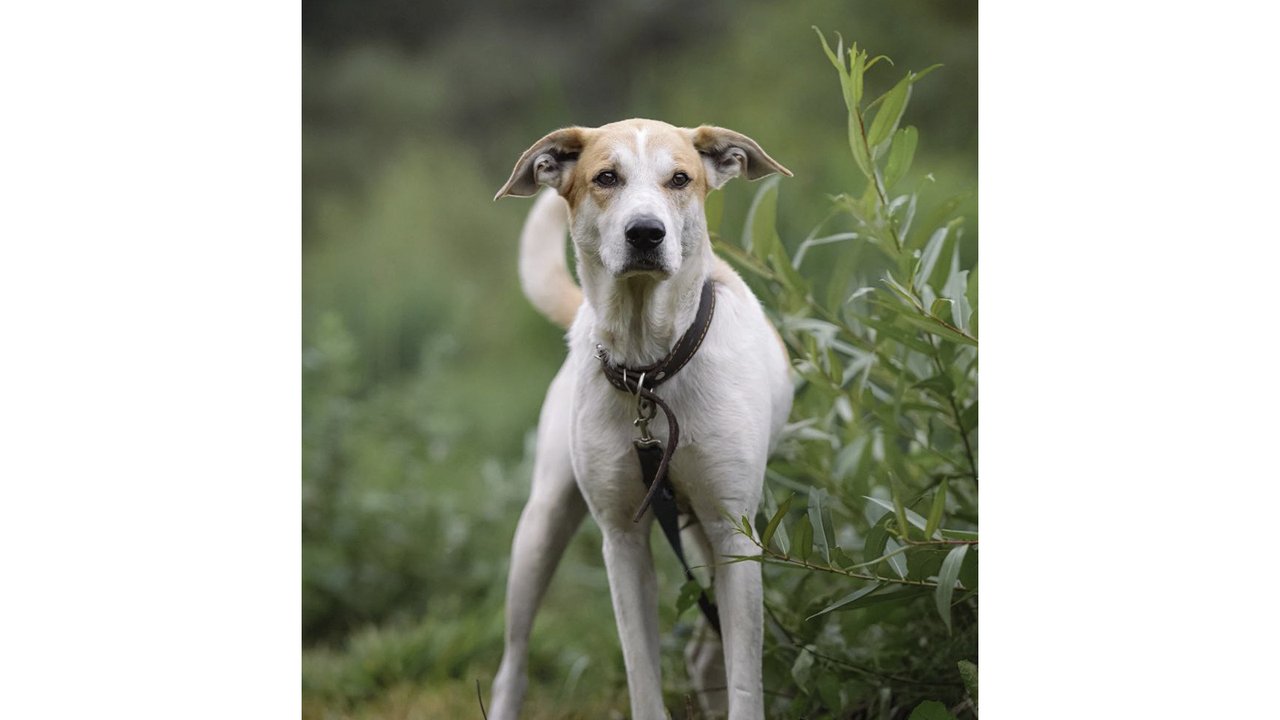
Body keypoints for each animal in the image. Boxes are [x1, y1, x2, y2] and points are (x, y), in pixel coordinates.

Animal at [488, 119, 788, 717]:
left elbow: (746, 678)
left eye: (680, 179)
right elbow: (640, 672)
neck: (652, 367)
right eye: (606, 177)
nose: (645, 233)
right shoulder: (622, 539)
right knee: (512, 664)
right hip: (540, 528)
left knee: (708, 654)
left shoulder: (734, 532)